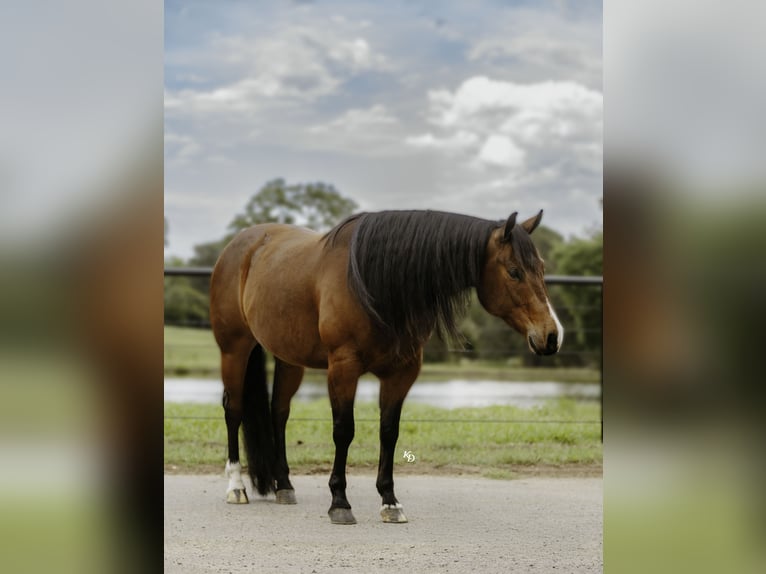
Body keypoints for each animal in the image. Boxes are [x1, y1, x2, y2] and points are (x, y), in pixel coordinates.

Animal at [209, 209, 563, 524]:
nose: (551, 336)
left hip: (289, 358)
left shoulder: (401, 373)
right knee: (234, 409)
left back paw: (284, 485)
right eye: (514, 271)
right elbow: (344, 431)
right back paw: (236, 486)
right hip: (234, 350)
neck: (374, 283)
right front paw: (340, 502)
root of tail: (241, 244)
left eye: (541, 268)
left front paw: (390, 502)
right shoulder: (343, 367)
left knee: (278, 412)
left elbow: (388, 432)